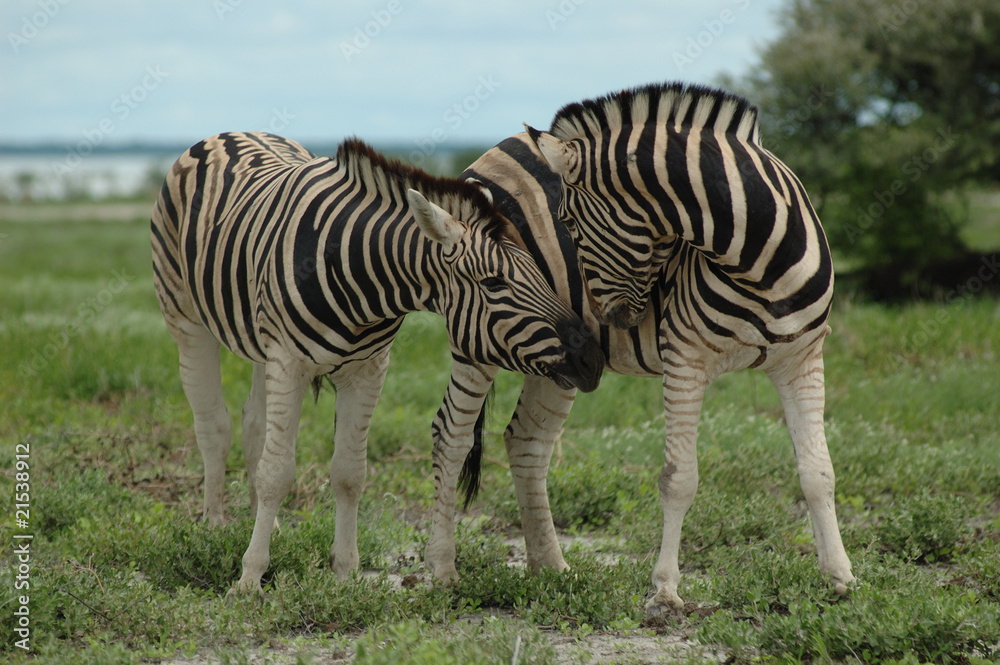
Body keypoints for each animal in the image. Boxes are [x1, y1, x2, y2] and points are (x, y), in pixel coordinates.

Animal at [150, 131, 603, 593]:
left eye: (541, 270)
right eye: (494, 283)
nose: (591, 357)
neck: (356, 271)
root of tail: (231, 134)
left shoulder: (367, 369)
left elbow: (349, 473)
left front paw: (346, 572)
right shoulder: (290, 362)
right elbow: (276, 471)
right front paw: (250, 577)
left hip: (262, 345)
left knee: (254, 424)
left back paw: (267, 526)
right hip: (186, 320)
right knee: (214, 426)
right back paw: (214, 526)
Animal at [451, 82, 854, 617]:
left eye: (568, 220)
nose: (601, 321)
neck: (757, 262)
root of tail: (497, 148)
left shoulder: (802, 358)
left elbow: (818, 472)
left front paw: (839, 576)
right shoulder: (685, 357)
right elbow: (678, 478)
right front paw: (665, 588)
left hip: (552, 358)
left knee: (527, 441)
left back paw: (550, 568)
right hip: (478, 335)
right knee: (451, 439)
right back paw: (444, 573)